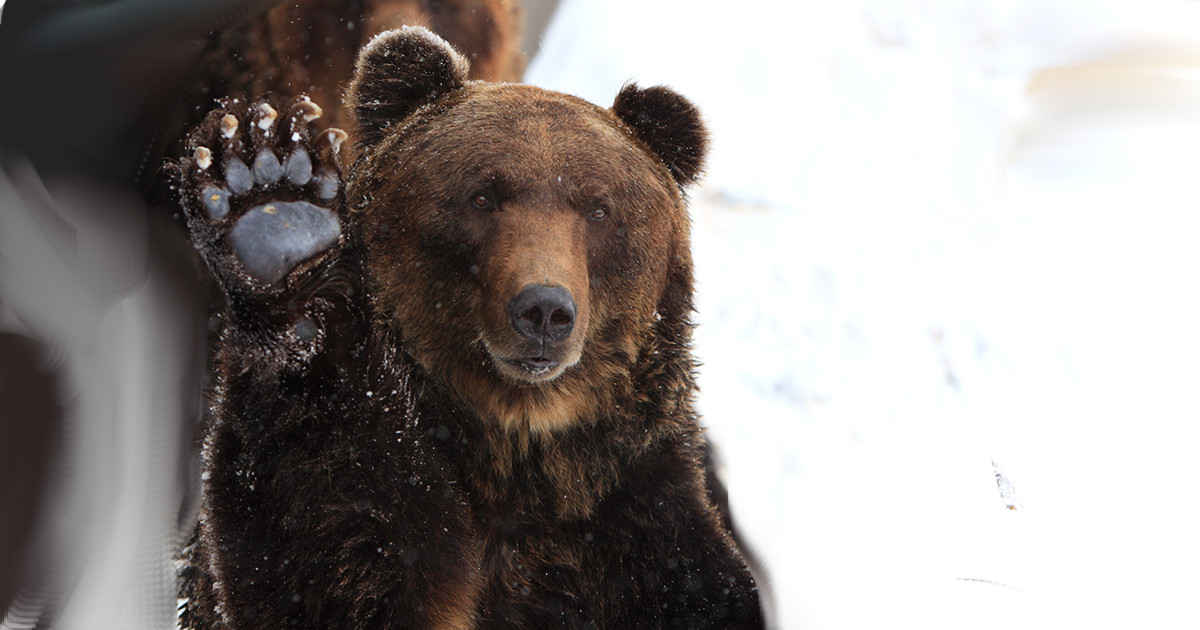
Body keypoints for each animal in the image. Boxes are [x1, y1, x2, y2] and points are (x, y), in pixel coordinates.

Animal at [171, 25, 758, 628]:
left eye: (599, 209)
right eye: (483, 196)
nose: (544, 310)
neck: (515, 455)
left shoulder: (641, 528)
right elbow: (324, 538)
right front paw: (272, 201)